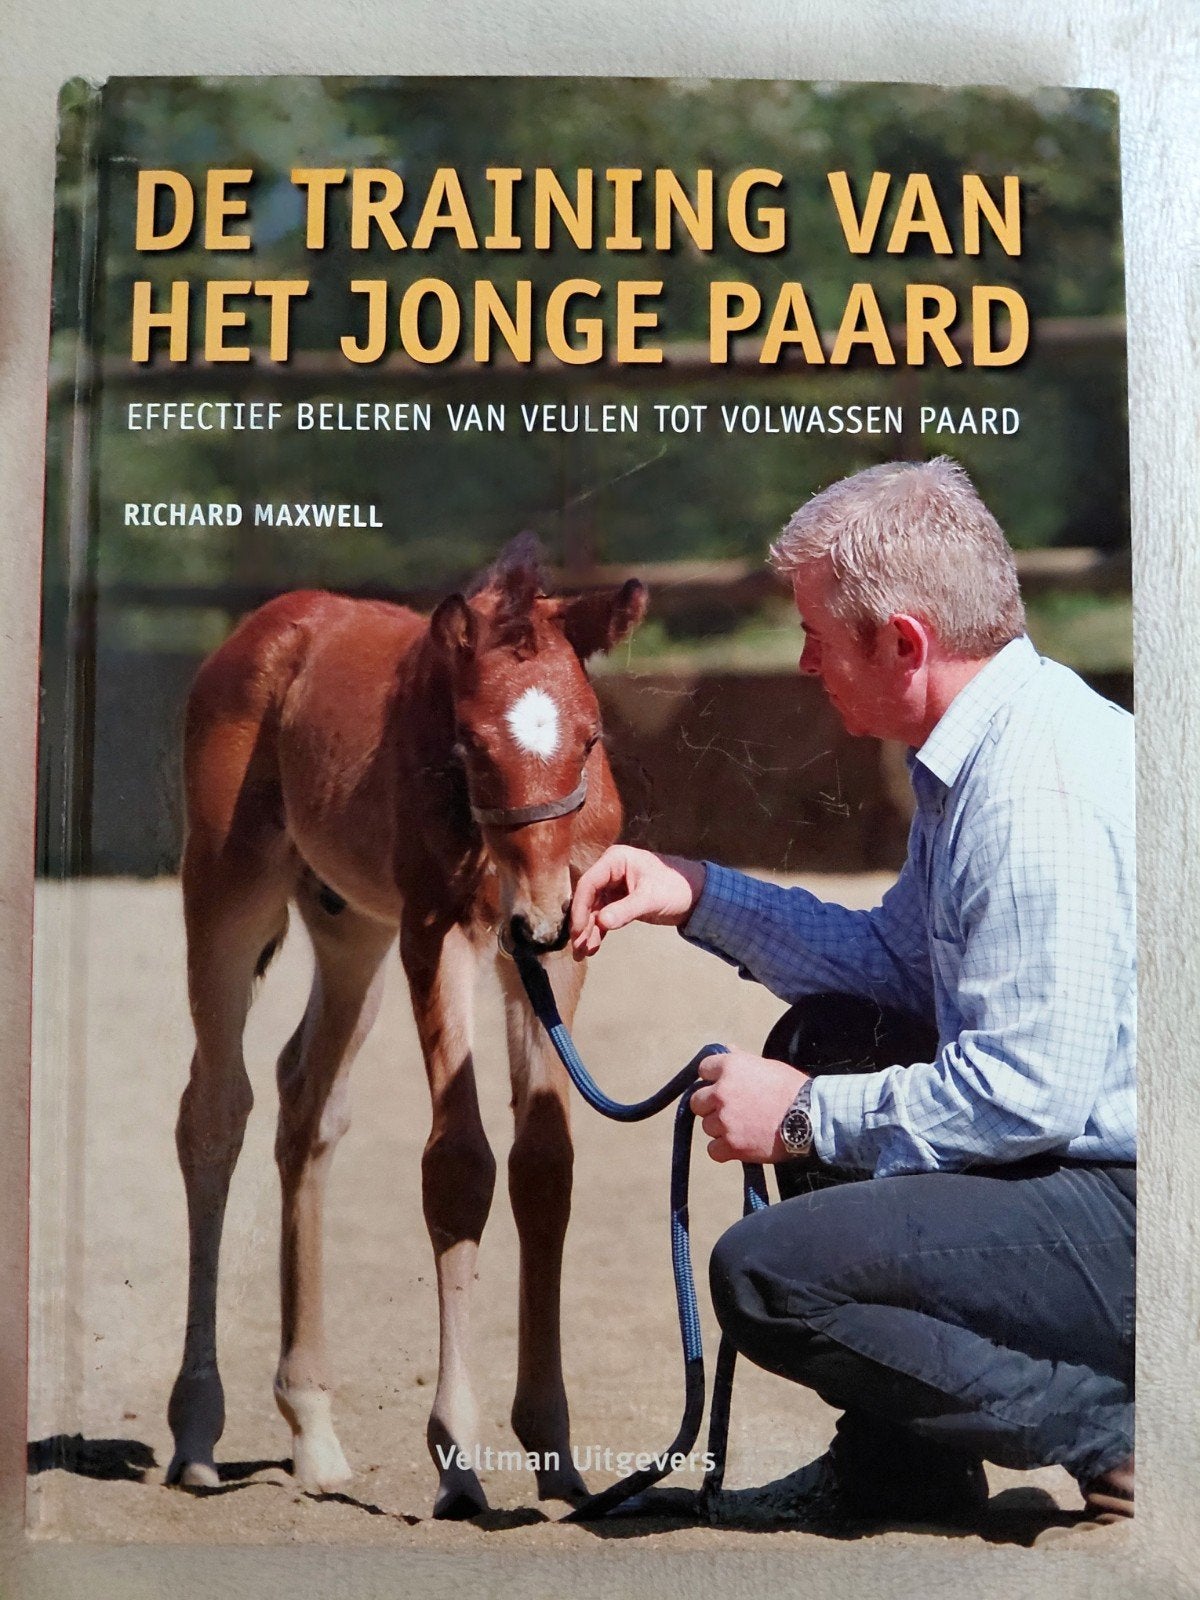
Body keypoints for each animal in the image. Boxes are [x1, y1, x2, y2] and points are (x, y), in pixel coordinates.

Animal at [165, 536, 647, 1518]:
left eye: (590, 738)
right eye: (473, 745)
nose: (539, 917)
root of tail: (266, 630)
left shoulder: (559, 952)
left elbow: (545, 1166)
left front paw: (554, 1449)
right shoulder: (440, 934)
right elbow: (457, 1164)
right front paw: (457, 1455)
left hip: (350, 926)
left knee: (307, 1104)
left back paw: (311, 1427)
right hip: (228, 889)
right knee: (216, 1111)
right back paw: (197, 1431)